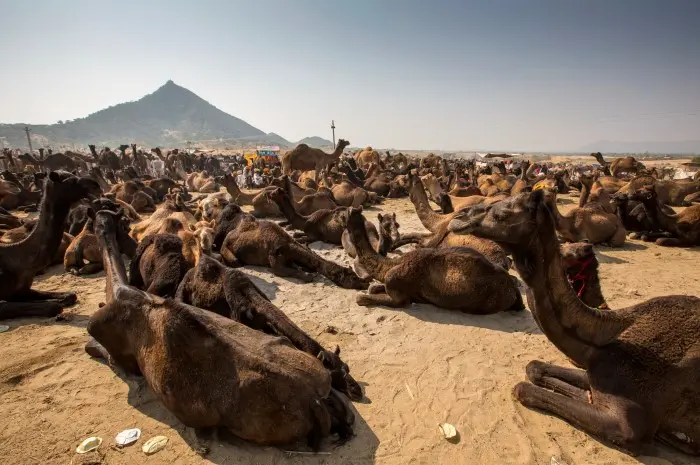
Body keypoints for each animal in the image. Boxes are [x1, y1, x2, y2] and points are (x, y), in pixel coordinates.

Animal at [0, 172, 101, 319]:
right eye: (70, 180)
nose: (95, 184)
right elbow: (52, 307)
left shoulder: (22, 291)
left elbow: (71, 295)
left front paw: (62, 299)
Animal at [218, 205, 368, 289]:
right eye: (352, 278)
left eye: (354, 274)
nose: (365, 283)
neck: (288, 246)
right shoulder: (275, 261)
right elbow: (288, 271)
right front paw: (308, 275)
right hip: (227, 247)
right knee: (233, 259)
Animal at [345, 208, 523, 312]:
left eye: (345, 215)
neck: (389, 265)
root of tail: (513, 291)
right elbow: (373, 287)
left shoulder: (399, 296)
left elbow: (361, 298)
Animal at [448, 189, 700, 456]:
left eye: (502, 212)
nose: (459, 217)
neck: (605, 335)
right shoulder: (596, 373)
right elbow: (535, 368)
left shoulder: (627, 424)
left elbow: (522, 388)